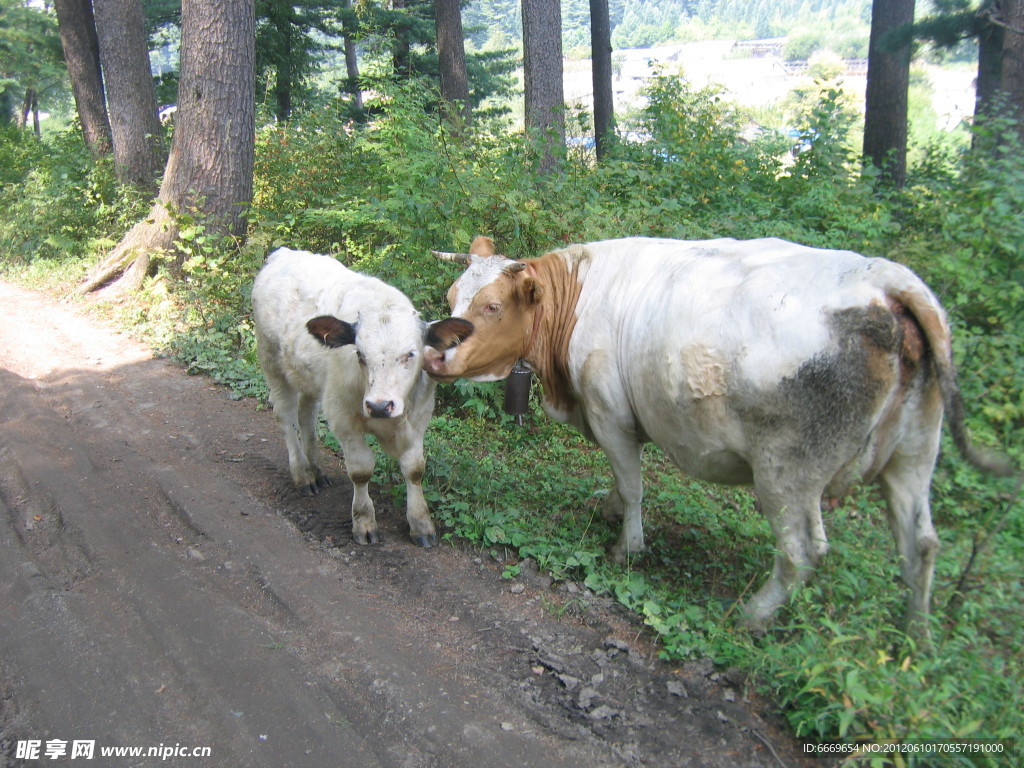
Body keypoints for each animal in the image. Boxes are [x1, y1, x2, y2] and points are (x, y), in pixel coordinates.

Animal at [425, 234, 1015, 638]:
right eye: (453, 294)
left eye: (492, 306)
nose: (434, 350)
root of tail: (886, 280)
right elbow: (620, 481)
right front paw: (611, 511)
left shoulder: (610, 414)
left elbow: (633, 485)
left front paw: (627, 547)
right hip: (915, 454)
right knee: (921, 545)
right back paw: (916, 634)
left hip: (786, 471)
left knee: (802, 550)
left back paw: (752, 616)